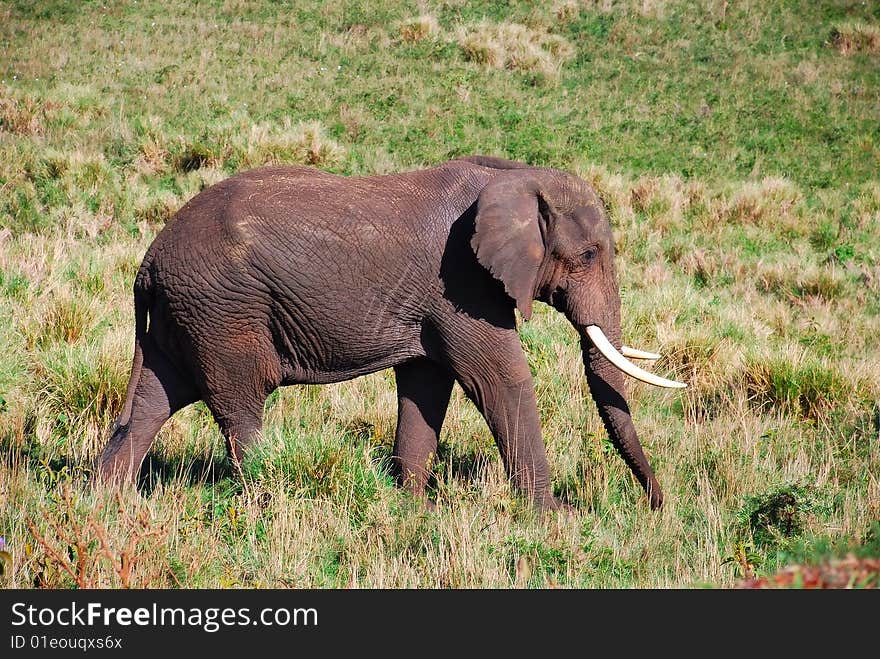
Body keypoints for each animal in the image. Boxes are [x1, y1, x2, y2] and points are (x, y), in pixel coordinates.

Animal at [99, 155, 684, 510]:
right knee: (240, 405)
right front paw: (552, 516)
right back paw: (266, 499)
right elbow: (500, 378)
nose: (657, 505)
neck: (515, 175)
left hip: (187, 314)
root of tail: (148, 260)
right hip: (223, 311)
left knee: (155, 400)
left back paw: (106, 502)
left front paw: (412, 507)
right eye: (587, 256)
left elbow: (427, 384)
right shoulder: (462, 282)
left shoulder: (436, 299)